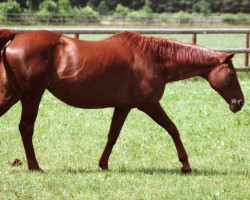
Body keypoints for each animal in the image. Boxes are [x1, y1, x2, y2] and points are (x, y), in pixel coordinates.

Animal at [0, 29, 244, 173]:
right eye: (232, 73)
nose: (239, 103)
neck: (155, 58)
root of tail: (17, 35)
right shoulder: (149, 104)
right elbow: (173, 129)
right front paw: (185, 164)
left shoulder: (124, 106)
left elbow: (112, 136)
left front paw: (103, 164)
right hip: (31, 96)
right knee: (26, 128)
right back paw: (34, 166)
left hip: (12, 95)